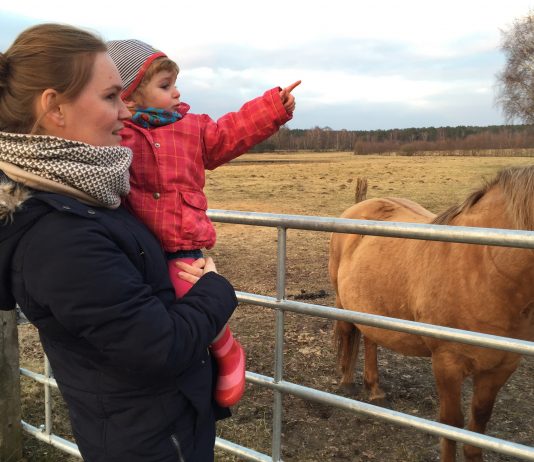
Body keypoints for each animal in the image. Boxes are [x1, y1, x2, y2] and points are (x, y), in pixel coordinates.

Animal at [328, 167, 534, 462]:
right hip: (342, 301)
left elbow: (478, 425)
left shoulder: (501, 367)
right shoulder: (447, 363)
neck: (484, 269)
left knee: (371, 339)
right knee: (348, 334)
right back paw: (346, 382)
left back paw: (375, 389)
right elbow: (451, 424)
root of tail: (359, 205)